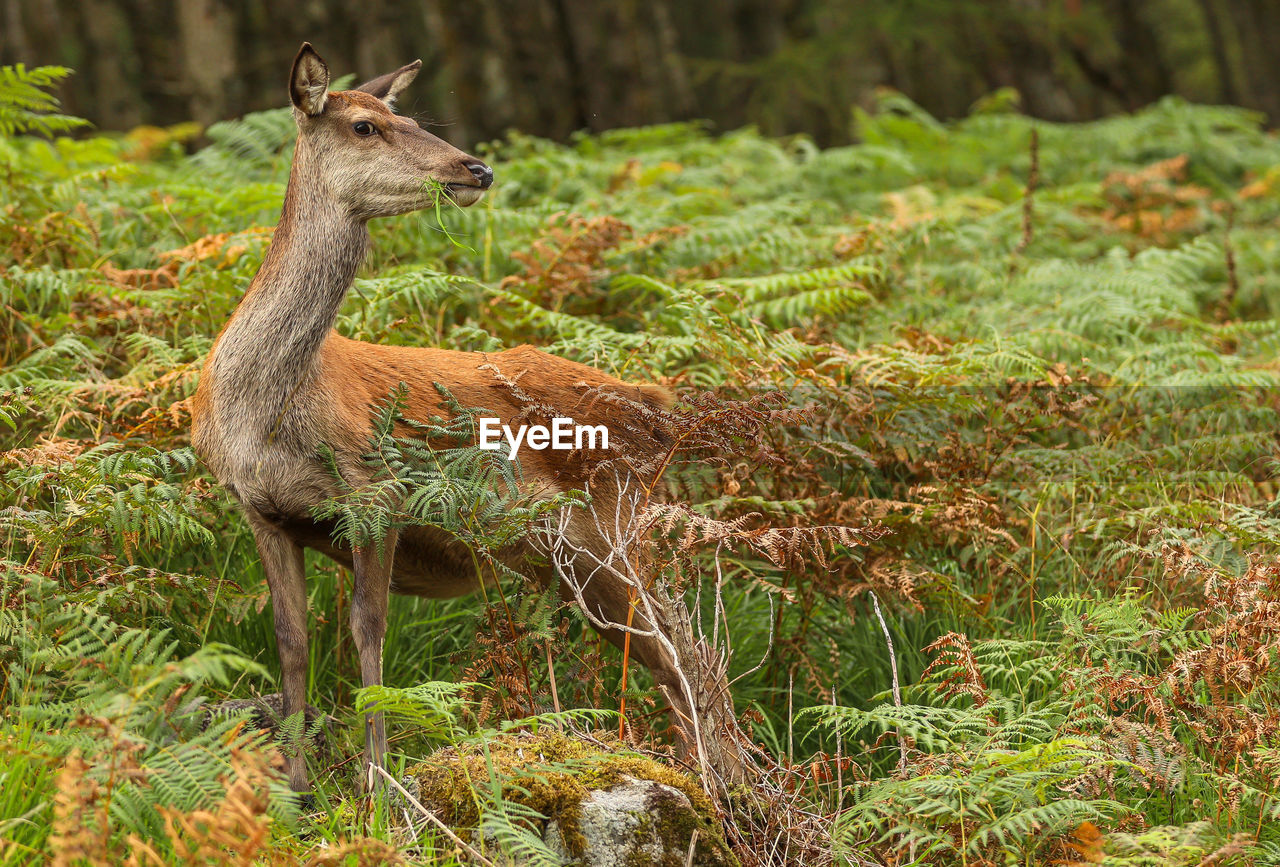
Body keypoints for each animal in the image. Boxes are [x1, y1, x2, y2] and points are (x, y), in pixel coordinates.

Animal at [194, 43, 747, 794]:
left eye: (412, 119)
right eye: (367, 125)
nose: (475, 168)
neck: (262, 413)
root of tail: (662, 411)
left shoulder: (376, 494)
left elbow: (368, 627)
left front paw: (377, 784)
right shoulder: (261, 509)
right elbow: (293, 642)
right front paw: (299, 787)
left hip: (606, 526)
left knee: (677, 651)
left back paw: (717, 788)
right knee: (673, 646)